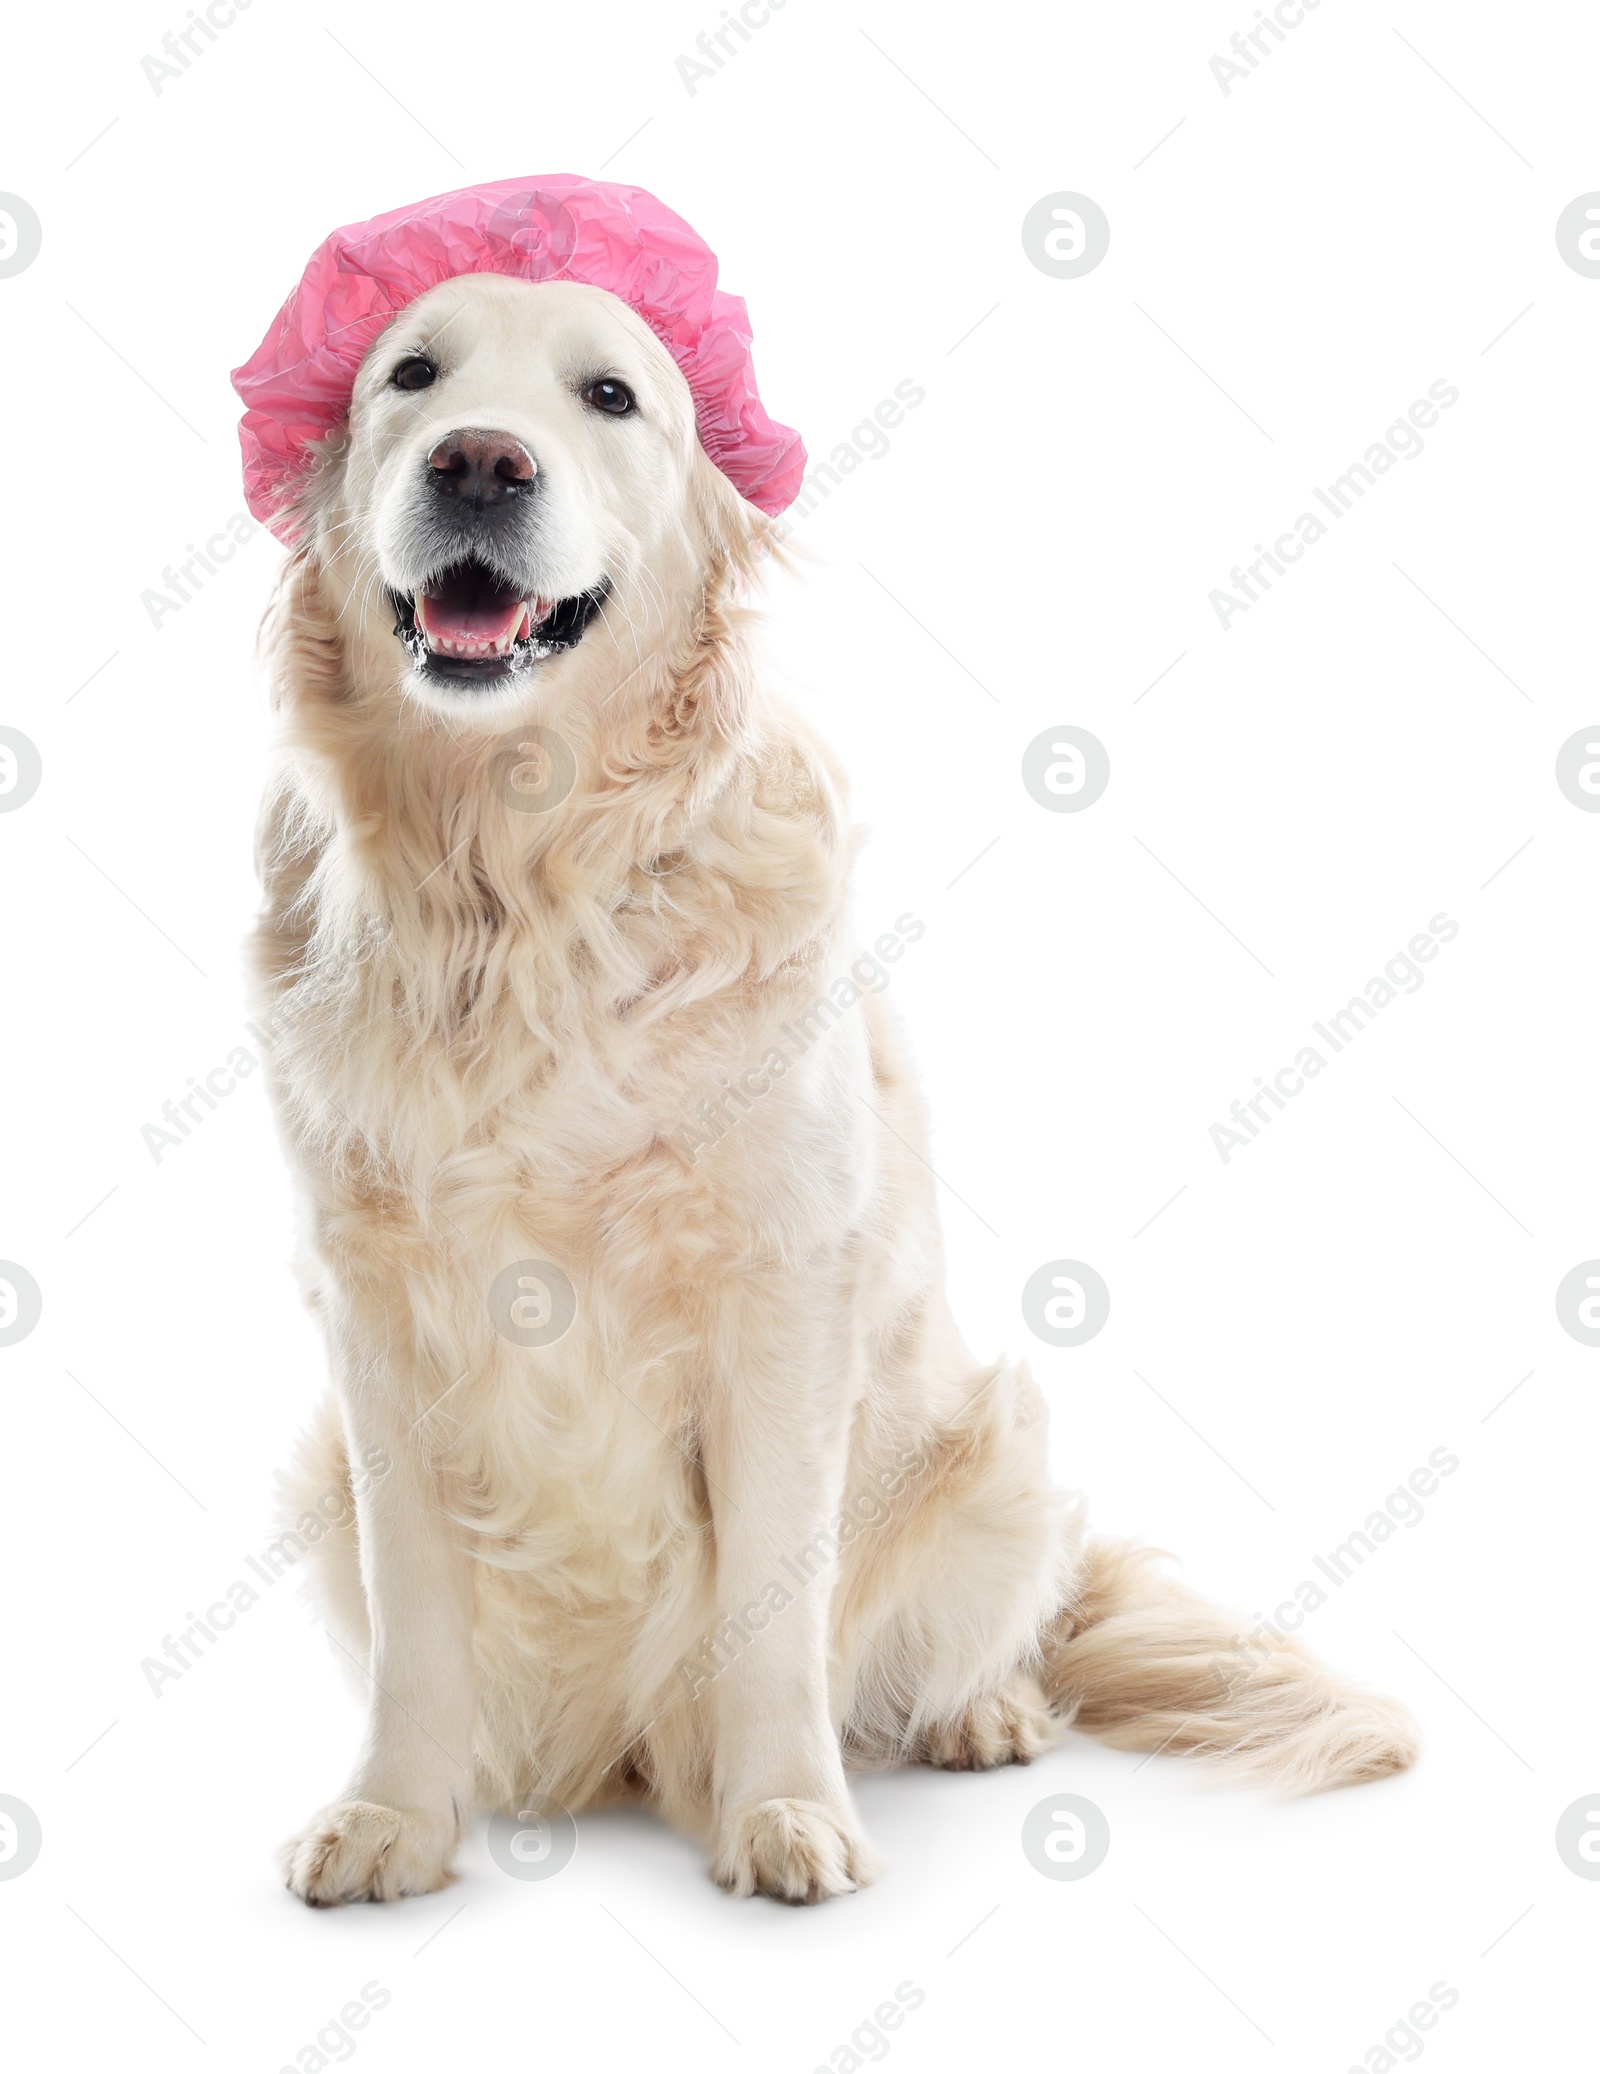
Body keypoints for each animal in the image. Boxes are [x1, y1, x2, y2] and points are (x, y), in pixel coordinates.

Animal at [256, 275, 1419, 1908]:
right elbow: (415, 1619)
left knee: (989, 1637)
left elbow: (771, 1609)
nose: (479, 461)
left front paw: (784, 1813)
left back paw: (987, 1713)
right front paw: (393, 1817)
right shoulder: (369, 1316)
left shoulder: (779, 1303)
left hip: (1001, 1436)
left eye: (609, 397)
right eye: (409, 375)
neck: (522, 878)